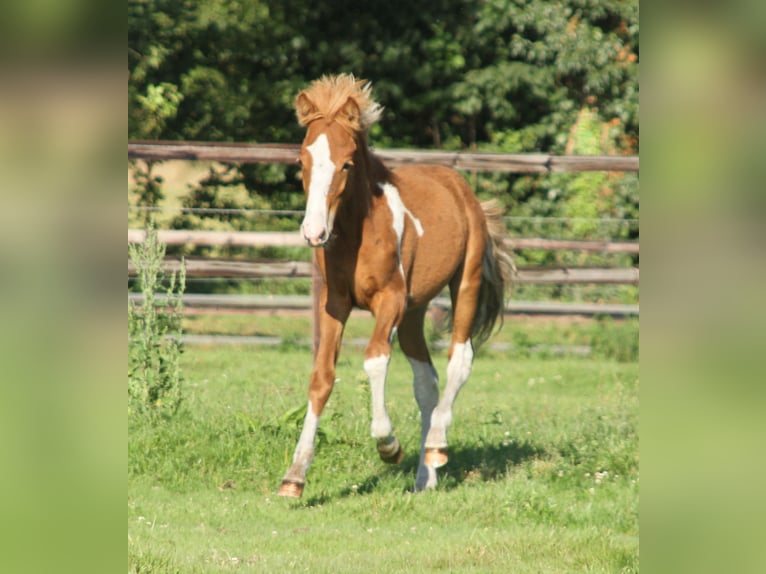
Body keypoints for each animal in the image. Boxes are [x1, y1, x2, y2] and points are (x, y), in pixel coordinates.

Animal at [280, 75, 512, 500]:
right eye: (301, 162)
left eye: (346, 164)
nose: (313, 232)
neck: (360, 232)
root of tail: (461, 186)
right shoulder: (335, 304)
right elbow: (322, 377)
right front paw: (295, 476)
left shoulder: (390, 300)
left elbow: (374, 359)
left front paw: (387, 444)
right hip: (415, 310)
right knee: (427, 381)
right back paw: (425, 478)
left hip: (464, 283)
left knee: (460, 359)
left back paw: (436, 446)